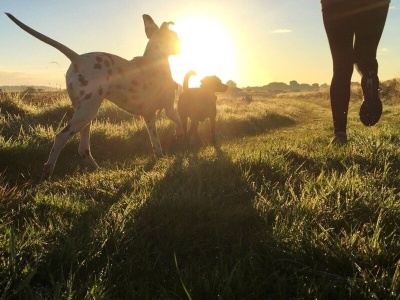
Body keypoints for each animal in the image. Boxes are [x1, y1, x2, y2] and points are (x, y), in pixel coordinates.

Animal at [5, 13, 184, 178]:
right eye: (175, 36)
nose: (181, 46)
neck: (155, 60)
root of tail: (78, 59)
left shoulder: (149, 116)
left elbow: (156, 142)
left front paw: (161, 155)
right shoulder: (170, 109)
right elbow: (181, 122)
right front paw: (182, 137)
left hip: (85, 114)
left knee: (83, 148)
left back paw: (96, 168)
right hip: (87, 111)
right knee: (61, 137)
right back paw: (49, 169)